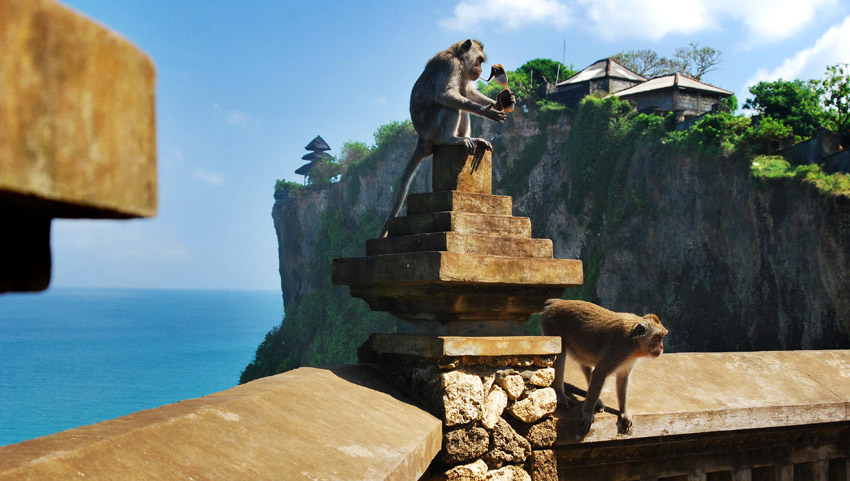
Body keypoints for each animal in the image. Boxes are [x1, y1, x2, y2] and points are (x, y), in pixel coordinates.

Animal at [378, 39, 514, 238]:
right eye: (480, 60)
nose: (480, 70)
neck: (458, 57)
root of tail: (422, 138)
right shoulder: (450, 66)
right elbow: (446, 95)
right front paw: (486, 110)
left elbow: (468, 94)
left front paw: (501, 102)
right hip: (432, 128)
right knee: (451, 105)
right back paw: (451, 139)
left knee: (463, 104)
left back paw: (471, 139)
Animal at [540, 299, 667, 436]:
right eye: (657, 337)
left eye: (661, 337)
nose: (661, 347)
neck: (634, 343)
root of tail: (556, 301)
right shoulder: (618, 348)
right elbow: (600, 372)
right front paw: (587, 413)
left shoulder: (628, 359)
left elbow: (623, 378)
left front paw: (624, 412)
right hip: (552, 325)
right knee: (560, 353)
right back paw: (560, 394)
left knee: (585, 362)